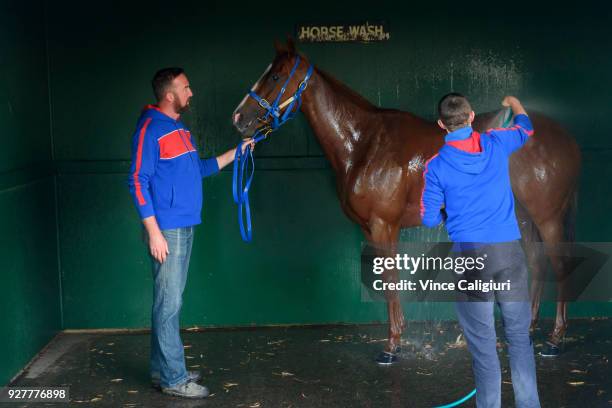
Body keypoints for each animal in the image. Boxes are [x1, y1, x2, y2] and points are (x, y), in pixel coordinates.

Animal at [231, 39, 584, 362]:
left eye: (275, 76)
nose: (239, 118)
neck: (363, 144)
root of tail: (565, 138)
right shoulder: (371, 228)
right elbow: (387, 278)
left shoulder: (384, 224)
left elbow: (389, 278)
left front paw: (392, 345)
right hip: (524, 216)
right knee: (537, 262)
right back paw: (526, 331)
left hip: (547, 216)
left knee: (560, 264)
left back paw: (555, 340)